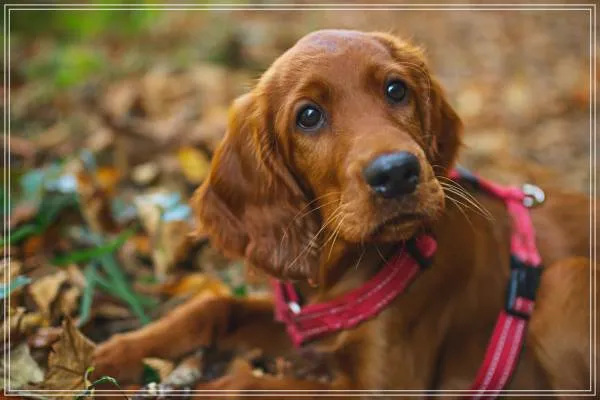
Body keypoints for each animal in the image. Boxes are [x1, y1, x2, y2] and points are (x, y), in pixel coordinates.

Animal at [93, 30, 595, 397]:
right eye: (308, 116)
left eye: (396, 89)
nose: (397, 173)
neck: (342, 267)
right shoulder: (306, 326)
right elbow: (214, 307)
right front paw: (111, 355)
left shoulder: (383, 386)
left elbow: (247, 385)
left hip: (564, 282)